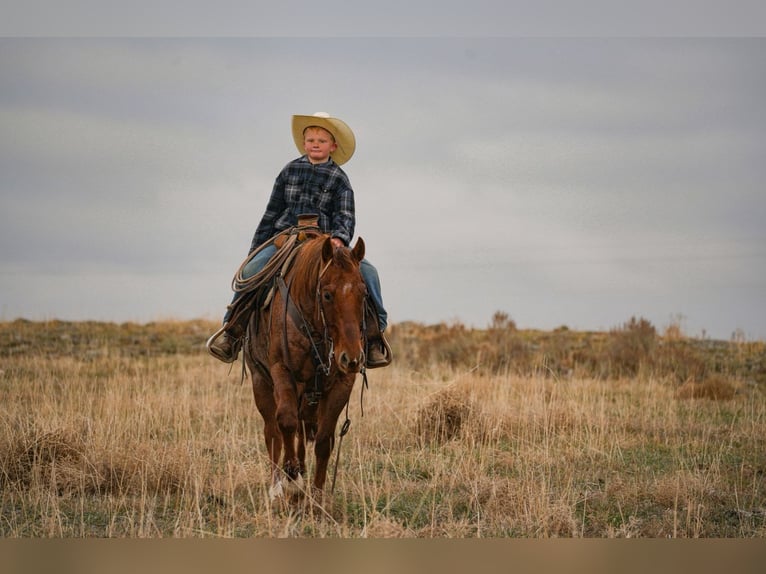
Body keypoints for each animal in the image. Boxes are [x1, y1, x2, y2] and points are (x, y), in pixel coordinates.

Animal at [244, 233, 368, 504]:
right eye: (327, 295)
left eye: (364, 293)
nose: (351, 358)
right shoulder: (282, 371)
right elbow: (286, 421)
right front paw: (291, 481)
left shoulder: (342, 383)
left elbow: (323, 440)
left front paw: (318, 495)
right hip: (261, 382)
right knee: (273, 432)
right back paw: (277, 485)